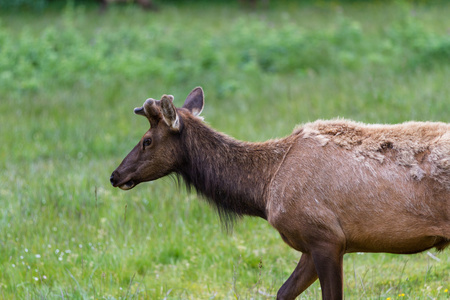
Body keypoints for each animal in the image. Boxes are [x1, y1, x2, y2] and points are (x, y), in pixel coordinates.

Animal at [110, 86, 450, 298]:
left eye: (147, 140)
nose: (116, 175)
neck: (263, 190)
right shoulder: (315, 245)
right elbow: (282, 292)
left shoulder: (326, 237)